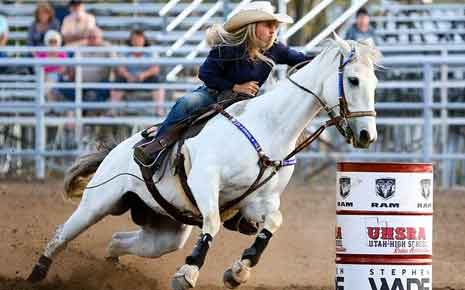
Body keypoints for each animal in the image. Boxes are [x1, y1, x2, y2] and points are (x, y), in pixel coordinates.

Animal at [26, 34, 380, 290]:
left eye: (374, 84)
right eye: (352, 80)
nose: (367, 135)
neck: (268, 127)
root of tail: (117, 150)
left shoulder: (259, 201)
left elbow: (273, 223)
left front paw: (238, 271)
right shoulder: (205, 181)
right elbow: (212, 223)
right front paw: (188, 273)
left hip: (165, 233)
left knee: (117, 242)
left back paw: (110, 272)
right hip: (98, 202)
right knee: (61, 235)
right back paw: (36, 274)